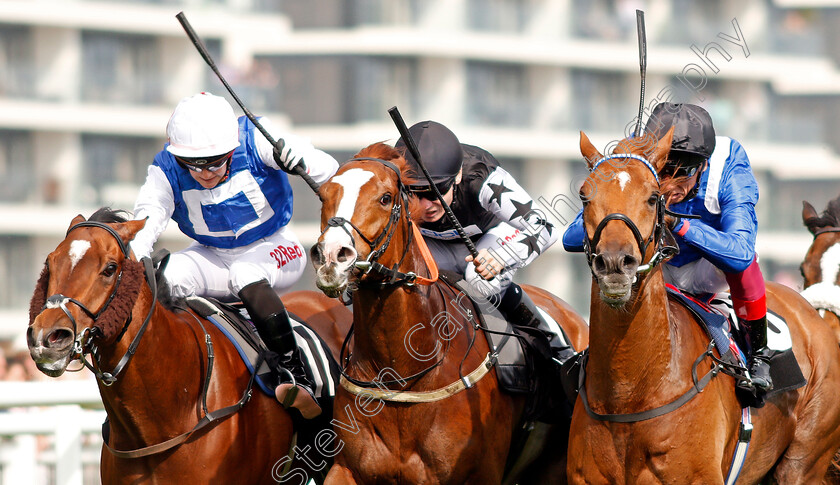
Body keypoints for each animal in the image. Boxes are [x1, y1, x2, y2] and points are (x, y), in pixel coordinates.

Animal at [306, 142, 588, 482]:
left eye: (385, 198)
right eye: (324, 195)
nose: (331, 258)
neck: (402, 375)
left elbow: (538, 223)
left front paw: (491, 264)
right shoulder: (347, 469)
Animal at [572, 130, 840, 484]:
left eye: (653, 197)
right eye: (584, 196)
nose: (615, 263)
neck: (629, 393)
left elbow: (738, 249)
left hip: (804, 461)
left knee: (741, 262)